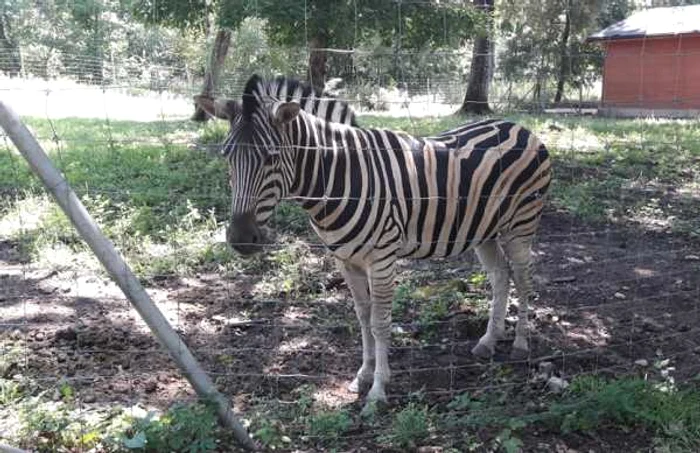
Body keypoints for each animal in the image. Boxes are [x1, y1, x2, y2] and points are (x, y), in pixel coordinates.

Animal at [196, 74, 552, 402]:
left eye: (271, 157)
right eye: (226, 155)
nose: (242, 238)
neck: (339, 178)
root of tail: (520, 127)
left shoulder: (382, 258)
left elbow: (381, 322)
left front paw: (378, 390)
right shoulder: (346, 259)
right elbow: (363, 317)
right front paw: (362, 376)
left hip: (521, 225)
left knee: (523, 278)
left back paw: (520, 344)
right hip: (485, 231)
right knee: (501, 277)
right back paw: (488, 341)